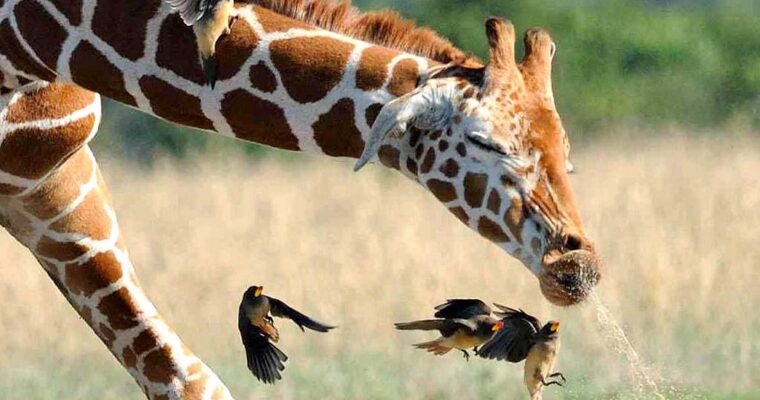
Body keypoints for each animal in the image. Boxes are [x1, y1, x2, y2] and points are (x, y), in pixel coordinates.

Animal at [0, 1, 601, 399]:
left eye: (566, 152)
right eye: (485, 142)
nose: (577, 269)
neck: (31, 44)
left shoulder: (56, 191)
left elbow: (188, 382)